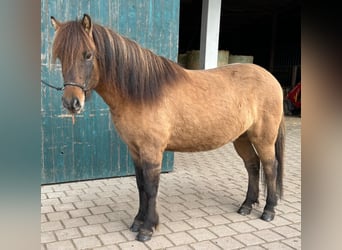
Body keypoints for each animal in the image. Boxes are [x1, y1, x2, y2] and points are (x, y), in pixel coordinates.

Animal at [50, 14, 286, 242]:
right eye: (60, 57)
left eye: (88, 55)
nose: (71, 103)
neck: (141, 92)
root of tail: (271, 78)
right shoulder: (135, 150)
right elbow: (141, 185)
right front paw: (138, 221)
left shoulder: (152, 150)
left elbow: (151, 187)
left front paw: (147, 229)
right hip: (242, 138)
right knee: (252, 165)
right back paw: (246, 205)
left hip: (264, 138)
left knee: (270, 167)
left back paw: (269, 210)